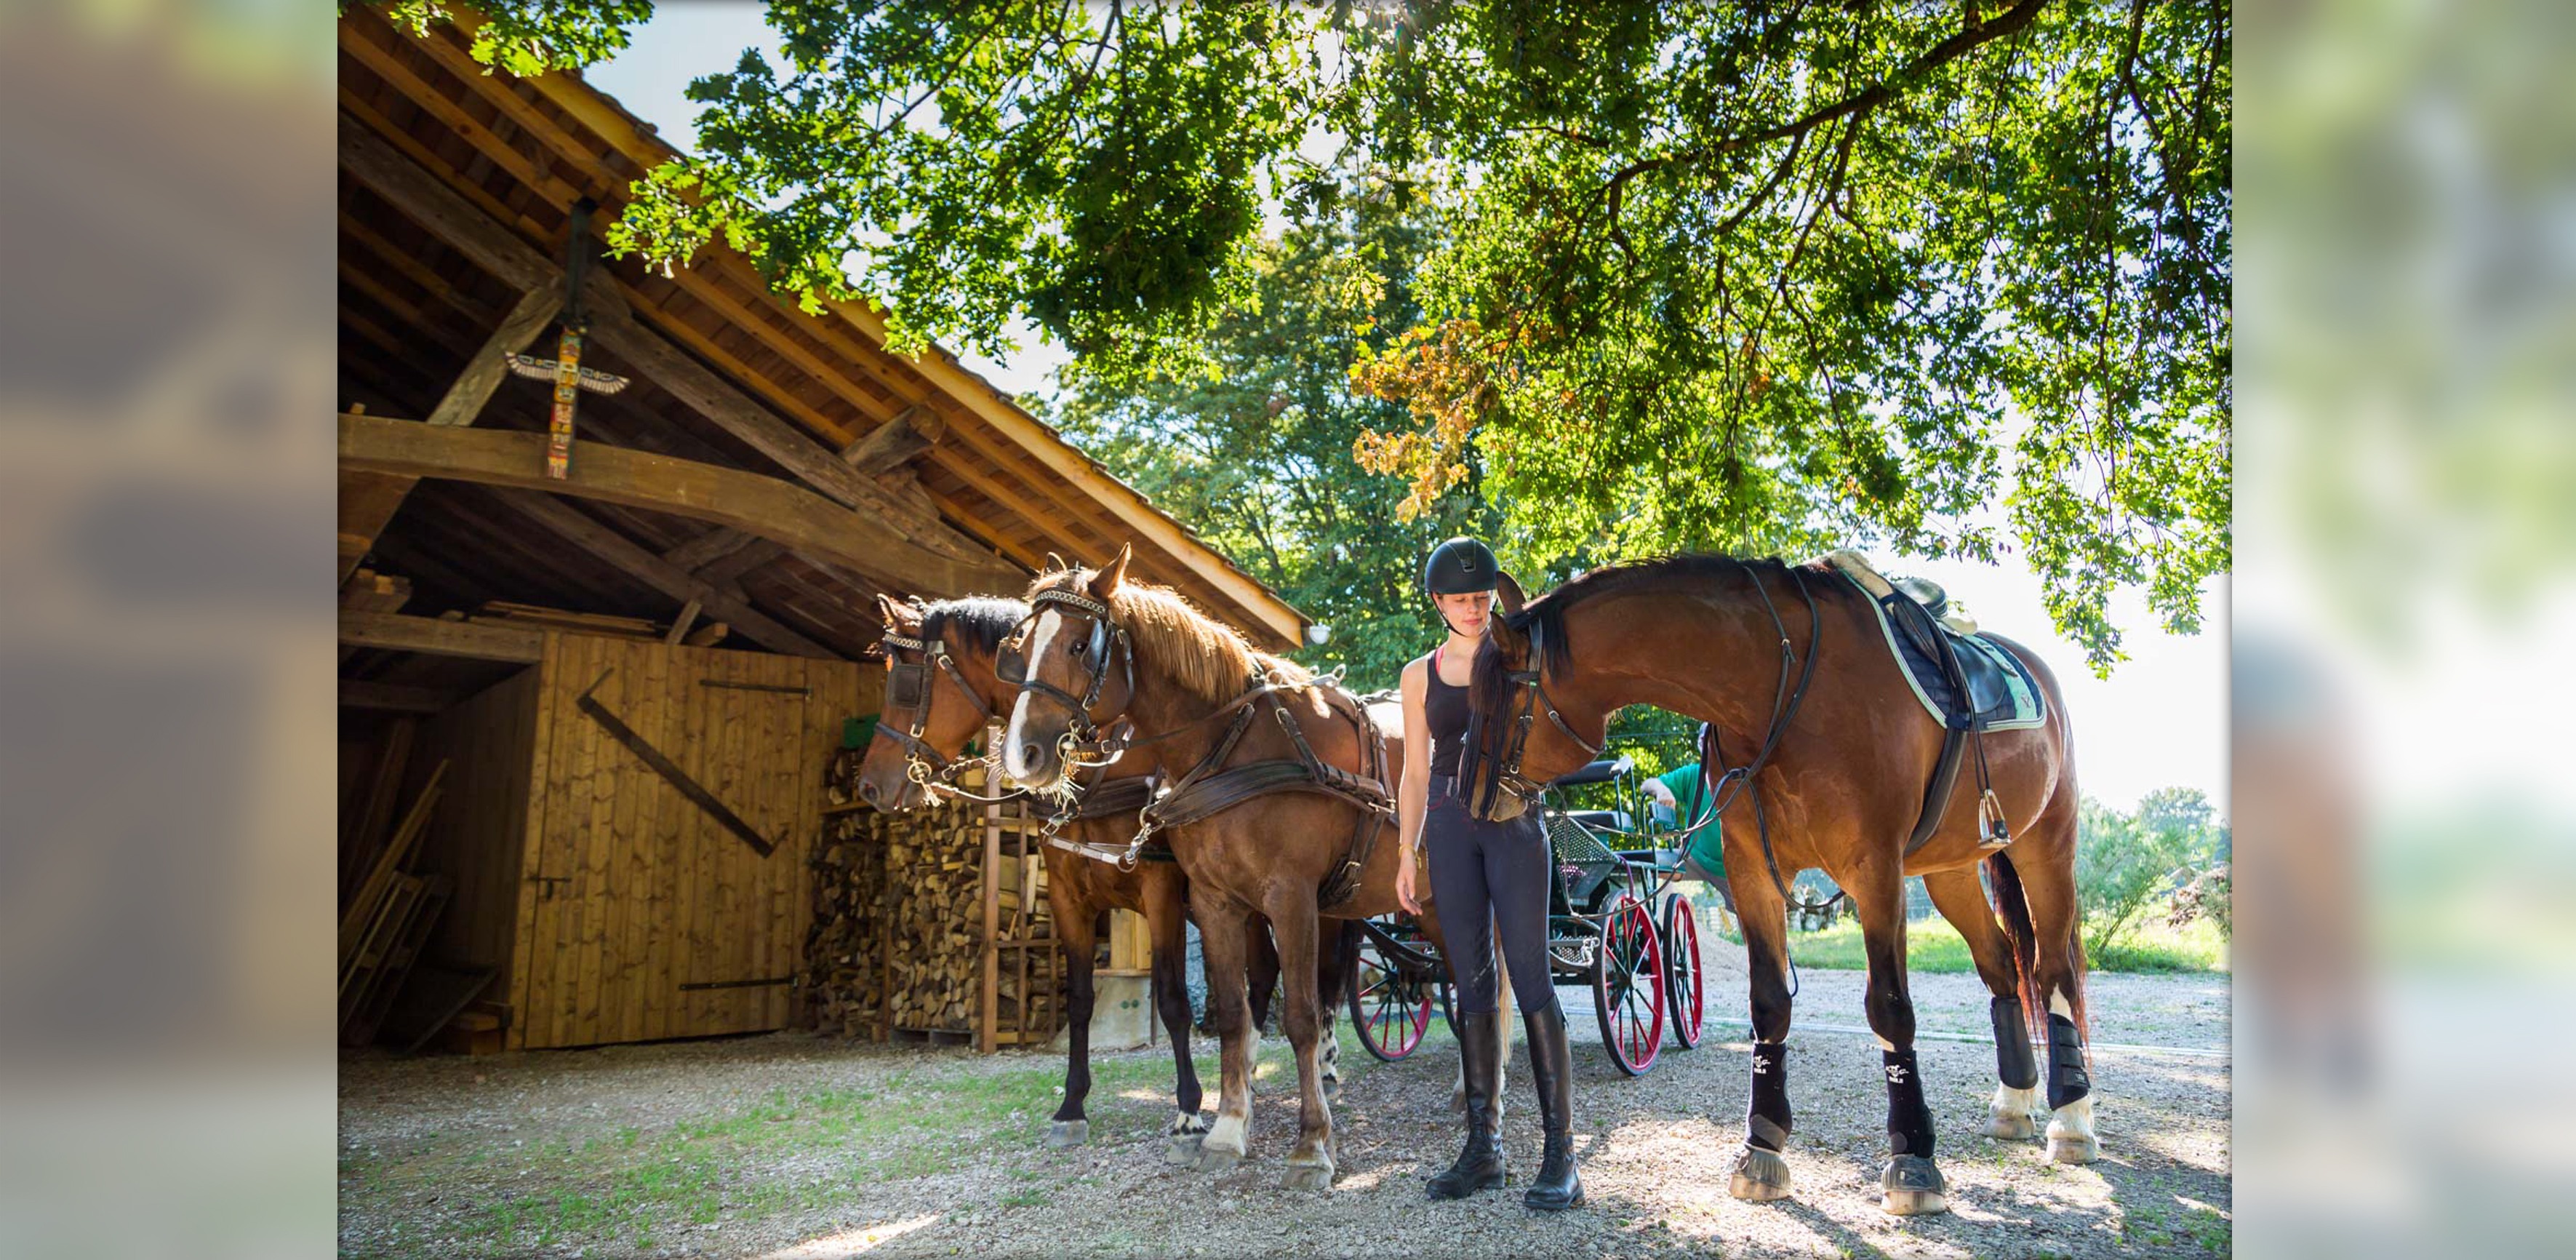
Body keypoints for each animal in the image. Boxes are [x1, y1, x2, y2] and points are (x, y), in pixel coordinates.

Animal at [1463, 554, 2102, 1211]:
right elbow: (1769, 1005)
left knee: (2052, 973)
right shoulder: (1754, 874)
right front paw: (1762, 1146)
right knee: (2000, 965)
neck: (1779, 689)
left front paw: (1913, 1155)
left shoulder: (1876, 870)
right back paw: (2015, 1101)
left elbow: (1891, 1008)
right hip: (1950, 870)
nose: (1468, 799)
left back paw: (2070, 1119)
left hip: (2045, 847)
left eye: (1498, 701)